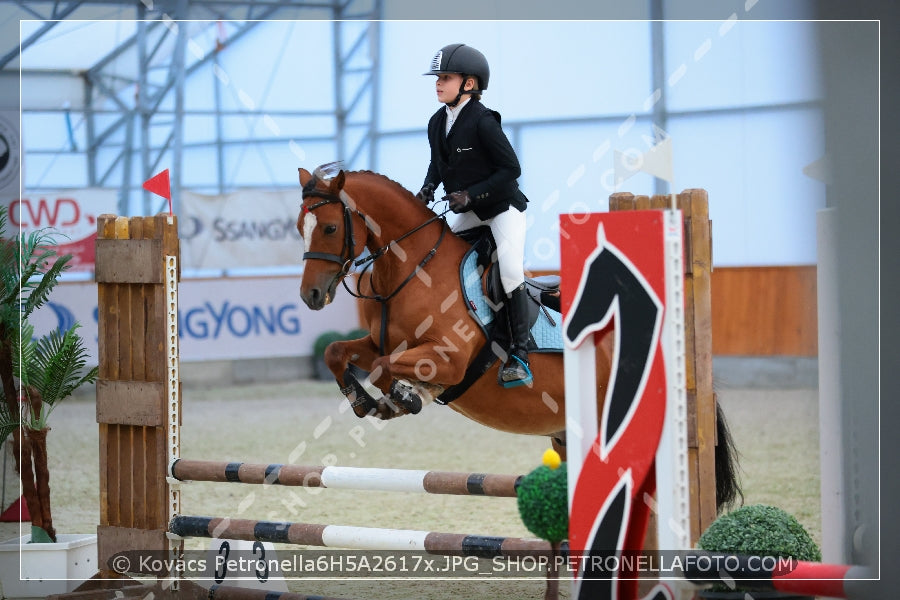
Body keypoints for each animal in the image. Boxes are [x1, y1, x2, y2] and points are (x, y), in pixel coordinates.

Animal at [296, 163, 740, 510]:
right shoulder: (380, 342)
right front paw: (364, 401)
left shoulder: (448, 359)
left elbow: (386, 367)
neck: (410, 270)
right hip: (567, 436)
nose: (311, 296)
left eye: (331, 227)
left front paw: (403, 396)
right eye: (301, 227)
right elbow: (338, 352)